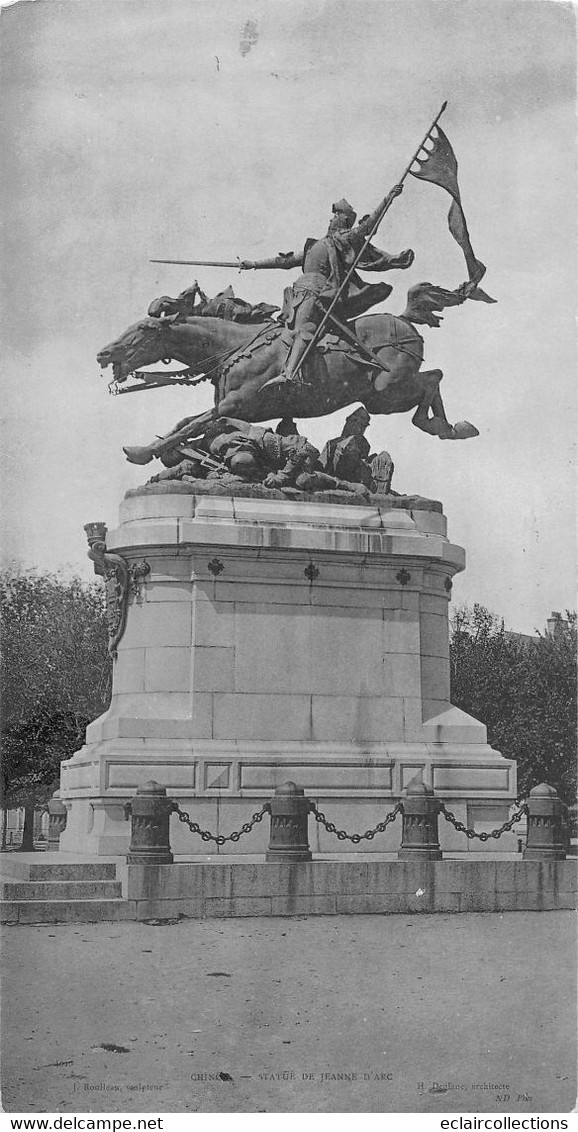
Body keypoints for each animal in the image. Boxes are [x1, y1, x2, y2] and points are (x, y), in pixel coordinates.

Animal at [97, 298, 479, 466]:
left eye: (144, 330)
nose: (103, 353)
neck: (233, 347)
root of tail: (403, 320)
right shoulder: (231, 408)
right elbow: (187, 422)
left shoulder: (238, 405)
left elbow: (192, 425)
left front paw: (141, 452)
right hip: (383, 396)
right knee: (433, 378)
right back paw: (449, 426)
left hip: (386, 394)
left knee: (433, 379)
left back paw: (444, 426)